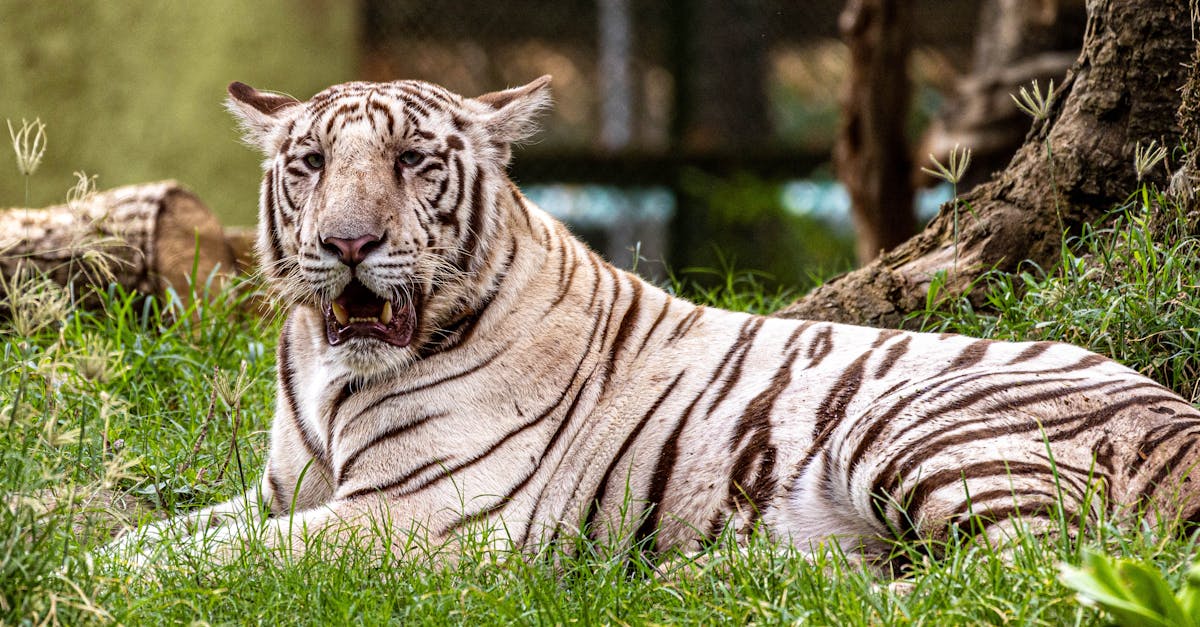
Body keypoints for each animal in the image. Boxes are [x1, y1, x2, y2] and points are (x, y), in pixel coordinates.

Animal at [112, 75, 1200, 564]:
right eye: (309, 166)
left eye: (413, 162)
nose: (345, 242)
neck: (333, 371)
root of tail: (1178, 416)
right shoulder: (284, 490)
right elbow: (167, 530)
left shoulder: (415, 511)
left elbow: (204, 559)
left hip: (912, 426)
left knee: (1026, 574)